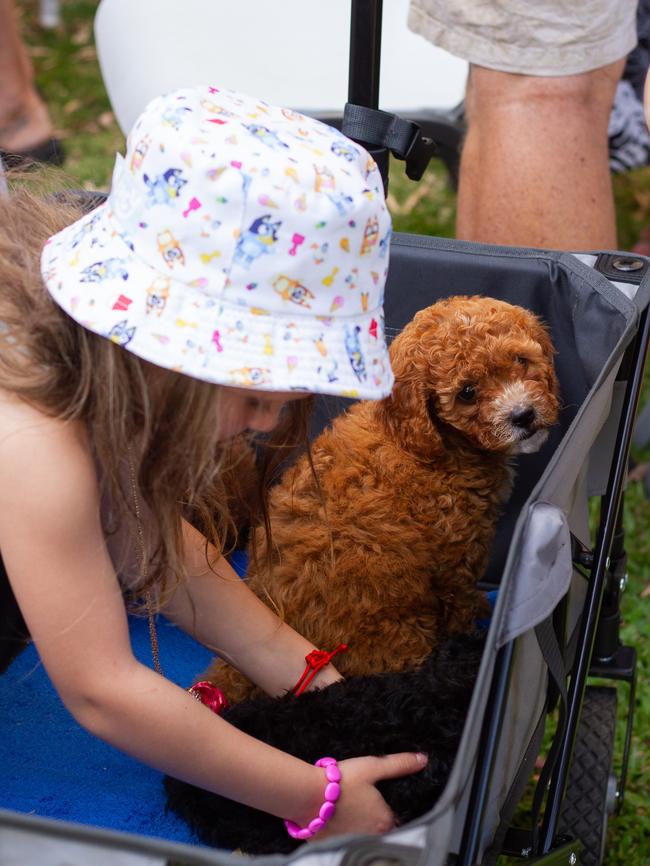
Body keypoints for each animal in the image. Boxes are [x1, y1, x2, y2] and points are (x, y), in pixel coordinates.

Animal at [206, 294, 556, 700]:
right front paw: (474, 622)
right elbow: (461, 602)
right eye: (467, 393)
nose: (523, 415)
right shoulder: (456, 555)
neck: (429, 441)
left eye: (521, 360)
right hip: (398, 633)